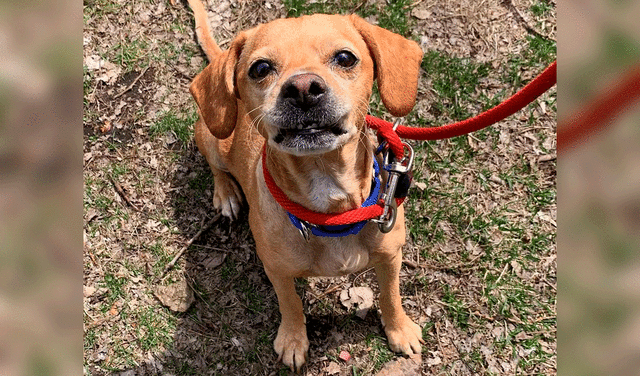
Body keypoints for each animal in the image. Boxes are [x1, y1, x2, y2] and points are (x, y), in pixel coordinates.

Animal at [185, 0, 424, 370]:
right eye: (261, 68)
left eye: (345, 58)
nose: (302, 88)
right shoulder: (277, 270)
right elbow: (291, 304)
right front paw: (294, 341)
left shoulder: (390, 256)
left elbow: (391, 295)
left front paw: (400, 329)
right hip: (211, 139)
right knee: (216, 167)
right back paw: (226, 193)